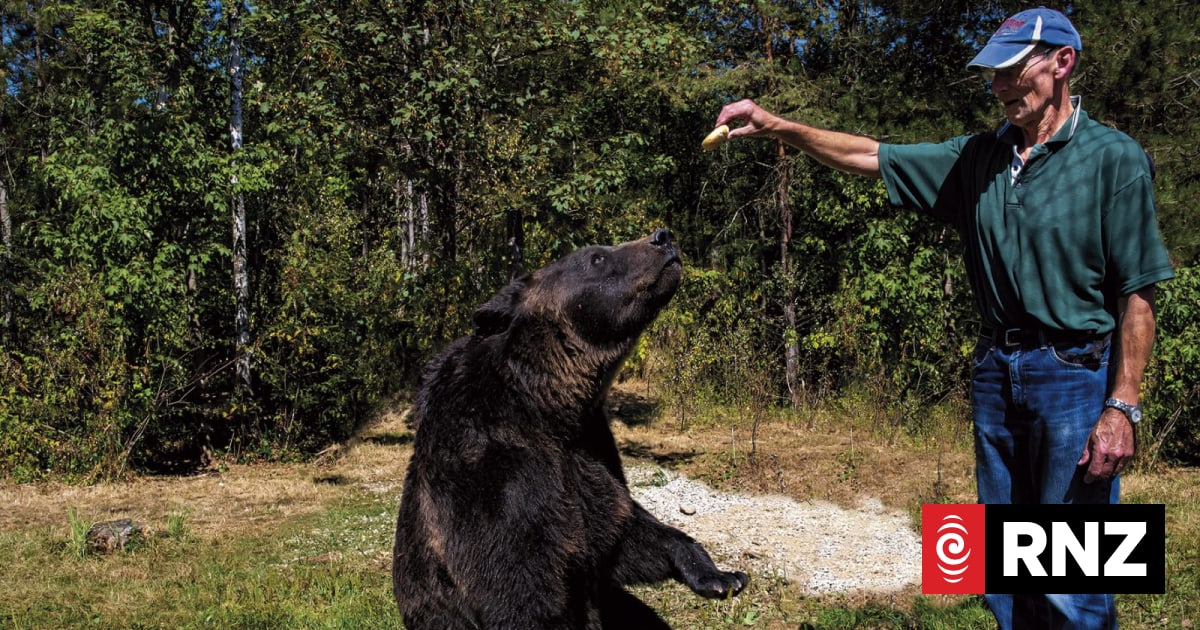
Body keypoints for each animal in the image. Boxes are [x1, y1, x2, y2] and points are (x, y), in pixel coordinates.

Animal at [392, 229, 747, 630]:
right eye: (597, 257)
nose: (663, 237)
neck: (547, 405)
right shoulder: (489, 472)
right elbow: (519, 583)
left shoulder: (591, 448)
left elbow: (624, 531)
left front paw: (721, 575)